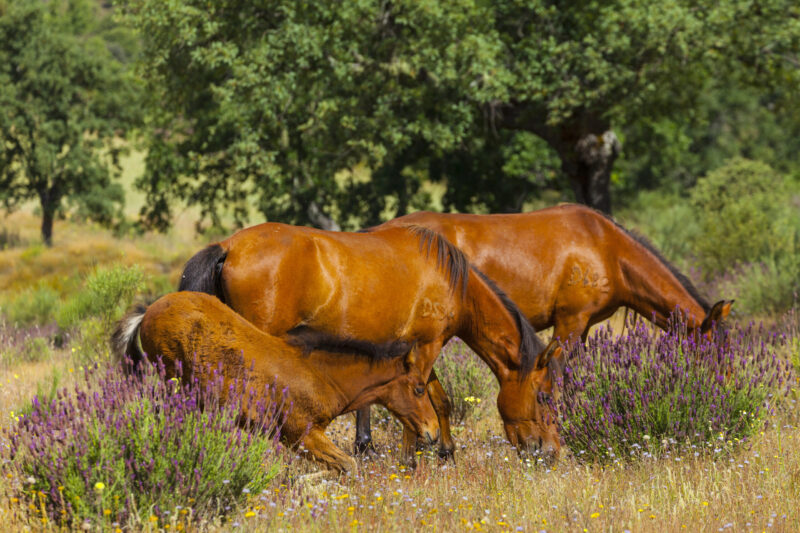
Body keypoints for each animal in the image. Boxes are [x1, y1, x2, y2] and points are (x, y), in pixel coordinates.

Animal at [110, 291, 440, 473]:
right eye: (419, 389)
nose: (433, 432)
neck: (319, 374)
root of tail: (150, 309)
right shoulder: (302, 435)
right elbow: (348, 466)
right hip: (172, 382)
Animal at [178, 223, 562, 464]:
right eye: (544, 397)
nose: (549, 451)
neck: (454, 283)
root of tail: (229, 247)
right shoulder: (427, 345)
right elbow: (418, 397)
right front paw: (412, 456)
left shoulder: (412, 349)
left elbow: (438, 399)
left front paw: (444, 451)